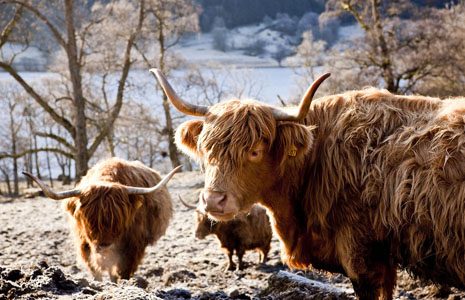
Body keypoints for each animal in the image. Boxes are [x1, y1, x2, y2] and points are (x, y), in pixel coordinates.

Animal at [23, 158, 180, 282]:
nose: (104, 245)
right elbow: (94, 269)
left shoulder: (134, 245)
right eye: (88, 217)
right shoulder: (84, 244)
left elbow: (123, 270)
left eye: (120, 217)